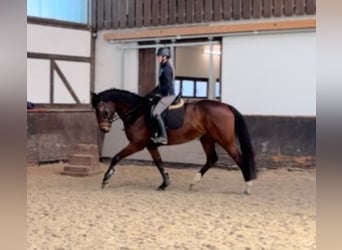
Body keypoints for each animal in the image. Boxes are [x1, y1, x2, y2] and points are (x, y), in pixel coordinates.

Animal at [91, 89, 256, 194]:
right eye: (96, 112)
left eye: (103, 111)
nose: (104, 129)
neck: (137, 113)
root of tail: (226, 106)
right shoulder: (150, 145)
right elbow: (159, 163)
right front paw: (165, 184)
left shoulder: (137, 144)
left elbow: (116, 157)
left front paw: (106, 179)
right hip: (206, 138)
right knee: (212, 158)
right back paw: (194, 182)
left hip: (224, 139)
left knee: (239, 158)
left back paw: (248, 186)